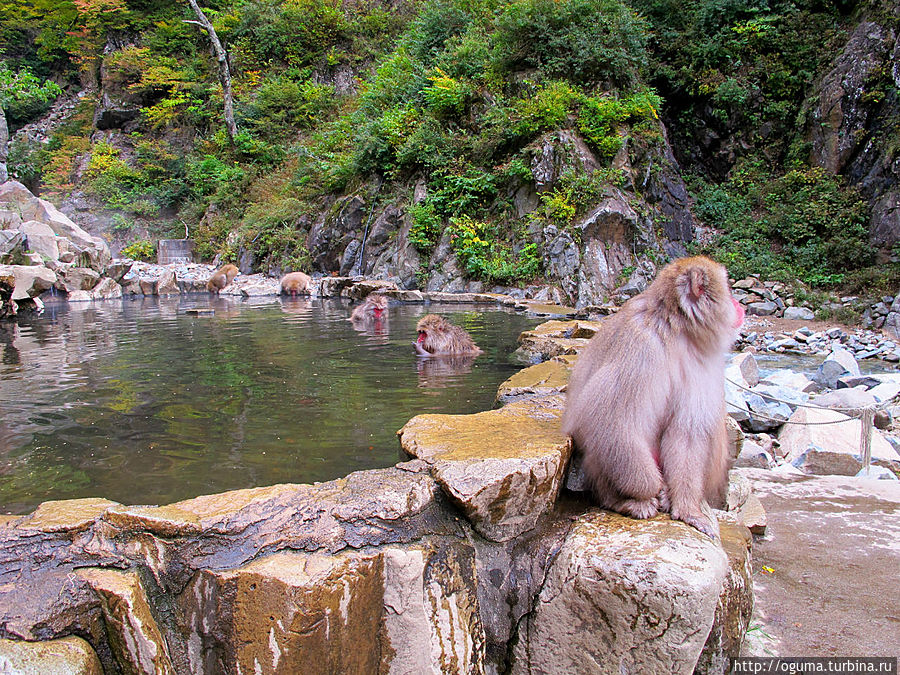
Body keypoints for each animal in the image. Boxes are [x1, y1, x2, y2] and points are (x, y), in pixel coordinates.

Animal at [564, 255, 744, 540]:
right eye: (728, 287)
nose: (739, 305)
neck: (674, 327)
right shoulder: (641, 349)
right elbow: (609, 422)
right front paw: (649, 491)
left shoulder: (698, 362)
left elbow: (687, 433)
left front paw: (687, 509)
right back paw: (624, 500)